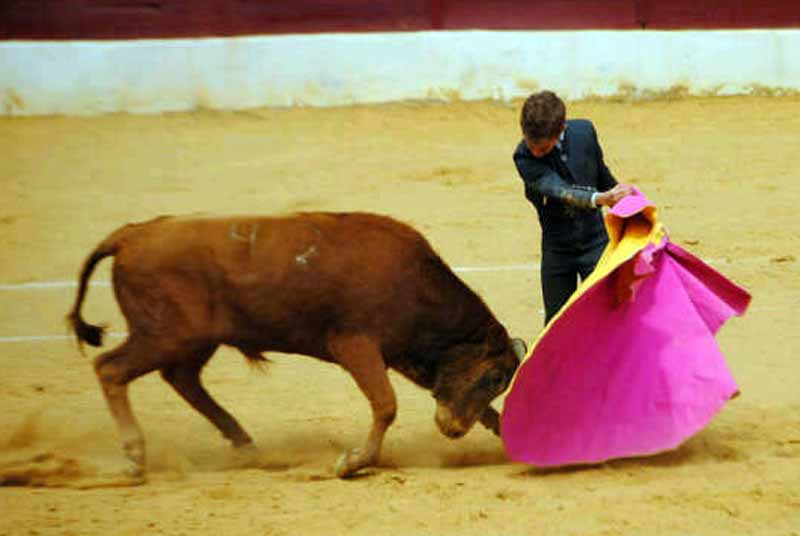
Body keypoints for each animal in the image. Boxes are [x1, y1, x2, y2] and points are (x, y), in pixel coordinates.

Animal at [67, 211, 524, 480]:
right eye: (493, 376)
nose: (454, 429)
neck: (413, 283)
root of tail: (131, 235)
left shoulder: (400, 355)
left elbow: (484, 413)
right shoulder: (356, 345)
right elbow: (385, 405)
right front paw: (351, 463)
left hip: (192, 341)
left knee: (183, 379)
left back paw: (245, 446)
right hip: (163, 336)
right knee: (111, 369)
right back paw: (135, 456)